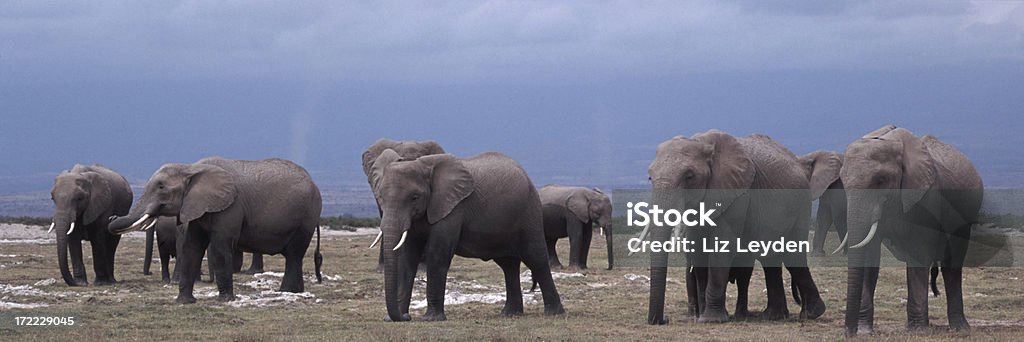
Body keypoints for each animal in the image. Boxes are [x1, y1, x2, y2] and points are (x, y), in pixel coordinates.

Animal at [110, 156, 321, 303]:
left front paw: (225, 300)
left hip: (306, 217)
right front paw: (184, 302)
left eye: (161, 187)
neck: (191, 169)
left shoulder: (230, 207)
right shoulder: (197, 207)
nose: (111, 217)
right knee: (295, 256)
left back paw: (288, 292)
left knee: (294, 254)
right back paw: (293, 292)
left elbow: (220, 248)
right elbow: (191, 248)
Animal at [368, 150, 565, 321]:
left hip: (529, 213)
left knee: (536, 259)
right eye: (381, 197)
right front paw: (394, 319)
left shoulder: (452, 208)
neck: (424, 165)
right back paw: (509, 314)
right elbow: (407, 258)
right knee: (508, 266)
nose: (406, 317)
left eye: (414, 197)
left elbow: (437, 255)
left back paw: (554, 313)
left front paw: (431, 319)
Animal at [647, 130, 831, 323]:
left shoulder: (738, 194)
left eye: (689, 176)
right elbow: (698, 249)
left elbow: (722, 247)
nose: (664, 320)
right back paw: (774, 315)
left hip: (800, 204)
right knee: (770, 258)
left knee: (792, 256)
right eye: (650, 177)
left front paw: (711, 319)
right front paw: (702, 318)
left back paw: (811, 313)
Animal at [839, 124, 983, 335]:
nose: (849, 333)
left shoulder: (926, 198)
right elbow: (870, 254)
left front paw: (918, 331)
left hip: (965, 216)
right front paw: (865, 331)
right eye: (842, 181)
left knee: (952, 264)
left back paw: (960, 329)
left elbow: (919, 254)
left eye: (881, 180)